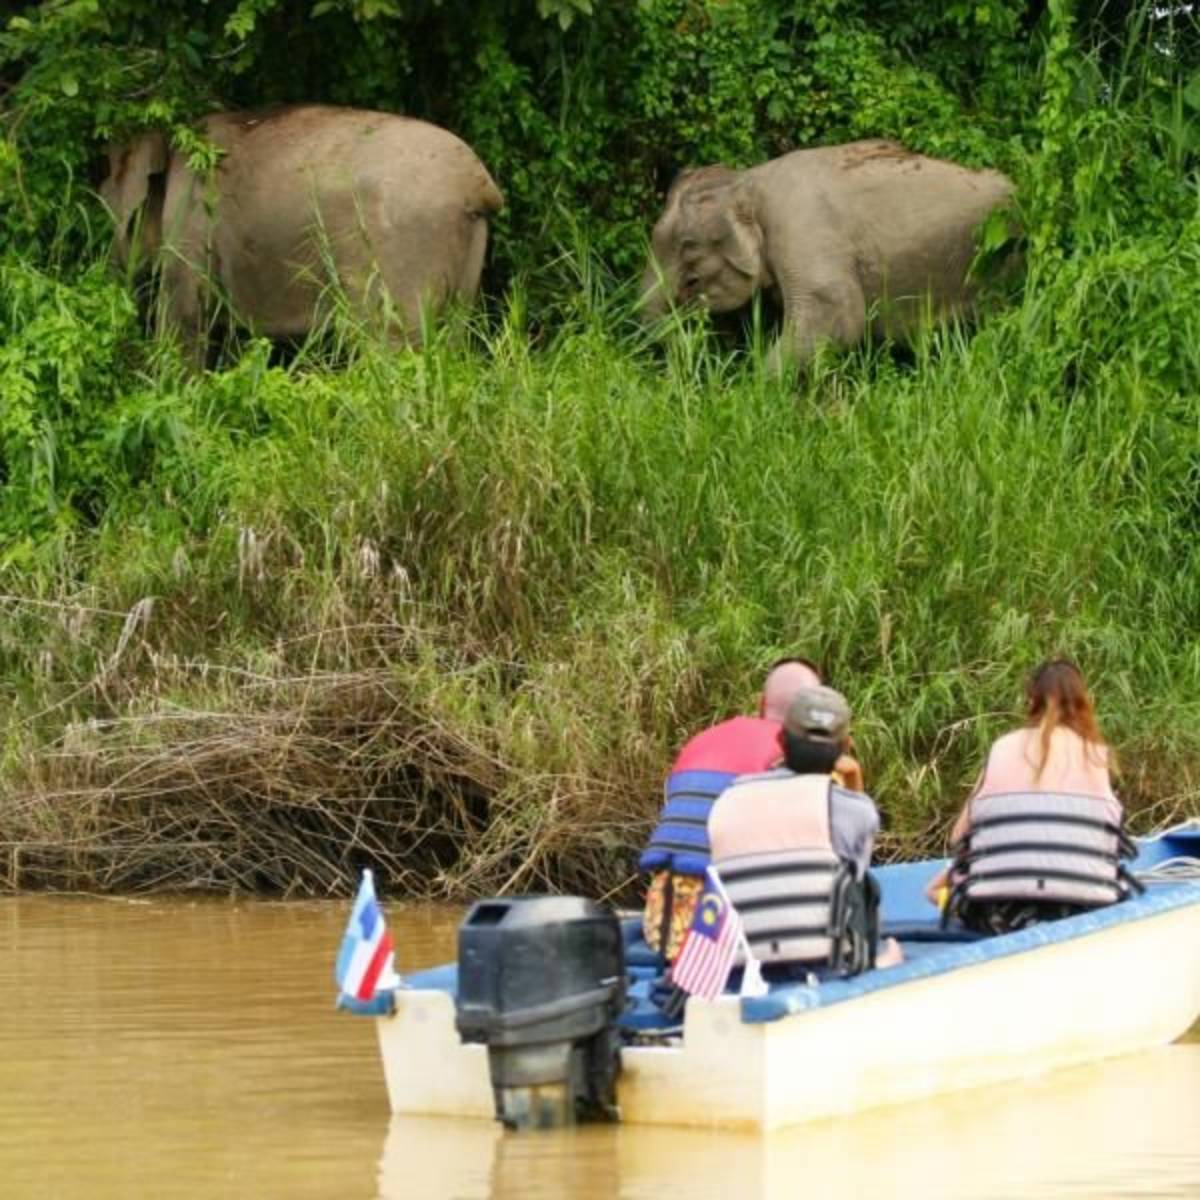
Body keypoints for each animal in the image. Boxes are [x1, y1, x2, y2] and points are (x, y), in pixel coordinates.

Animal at [100, 105, 503, 360]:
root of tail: (478, 184)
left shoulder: (189, 228)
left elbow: (182, 321)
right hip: (468, 249)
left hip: (404, 246)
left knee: (394, 345)